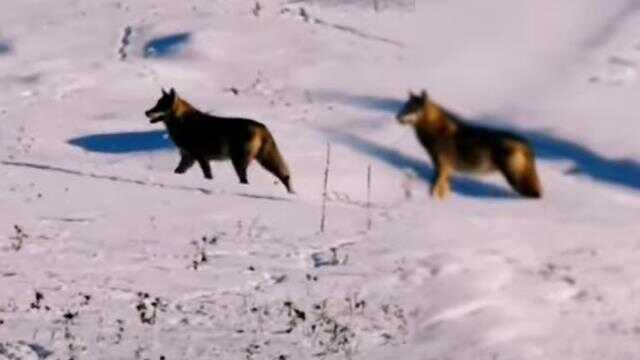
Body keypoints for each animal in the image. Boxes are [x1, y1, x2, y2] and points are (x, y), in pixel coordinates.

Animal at [145, 87, 292, 193]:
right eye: (156, 104)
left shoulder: (200, 157)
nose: (146, 112)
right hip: (263, 161)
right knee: (285, 176)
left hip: (239, 163)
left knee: (245, 180)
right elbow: (177, 171)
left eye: (160, 106)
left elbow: (208, 175)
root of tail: (262, 127)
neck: (184, 122)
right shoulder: (188, 158)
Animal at [398, 88, 544, 198]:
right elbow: (443, 192)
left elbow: (434, 189)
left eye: (412, 109)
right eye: (404, 107)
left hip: (515, 179)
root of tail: (527, 144)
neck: (436, 130)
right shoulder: (447, 171)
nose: (397, 117)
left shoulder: (442, 168)